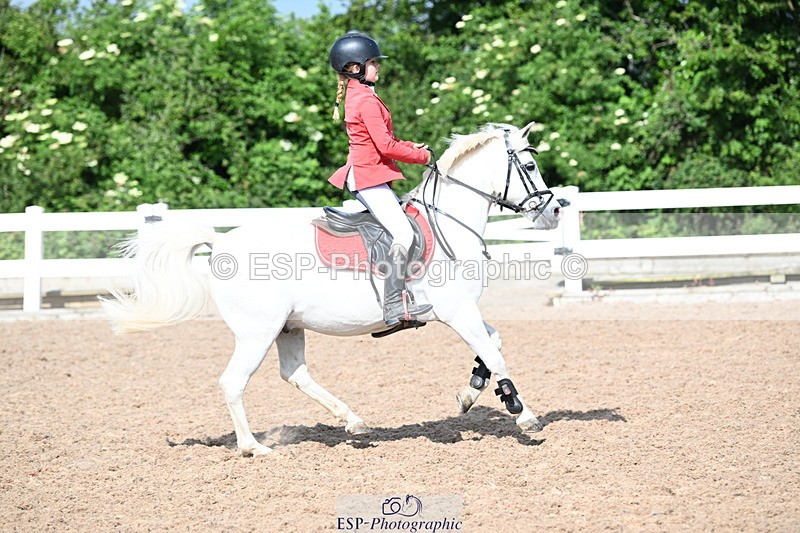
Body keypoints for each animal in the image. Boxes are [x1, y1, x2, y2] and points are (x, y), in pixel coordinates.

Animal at [104, 122, 562, 456]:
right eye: (530, 166)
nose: (555, 211)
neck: (450, 221)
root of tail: (220, 243)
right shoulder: (457, 312)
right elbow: (496, 355)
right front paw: (523, 414)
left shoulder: (461, 310)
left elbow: (493, 345)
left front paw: (470, 394)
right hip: (257, 332)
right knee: (234, 382)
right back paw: (253, 448)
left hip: (288, 328)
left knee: (295, 373)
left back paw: (353, 421)